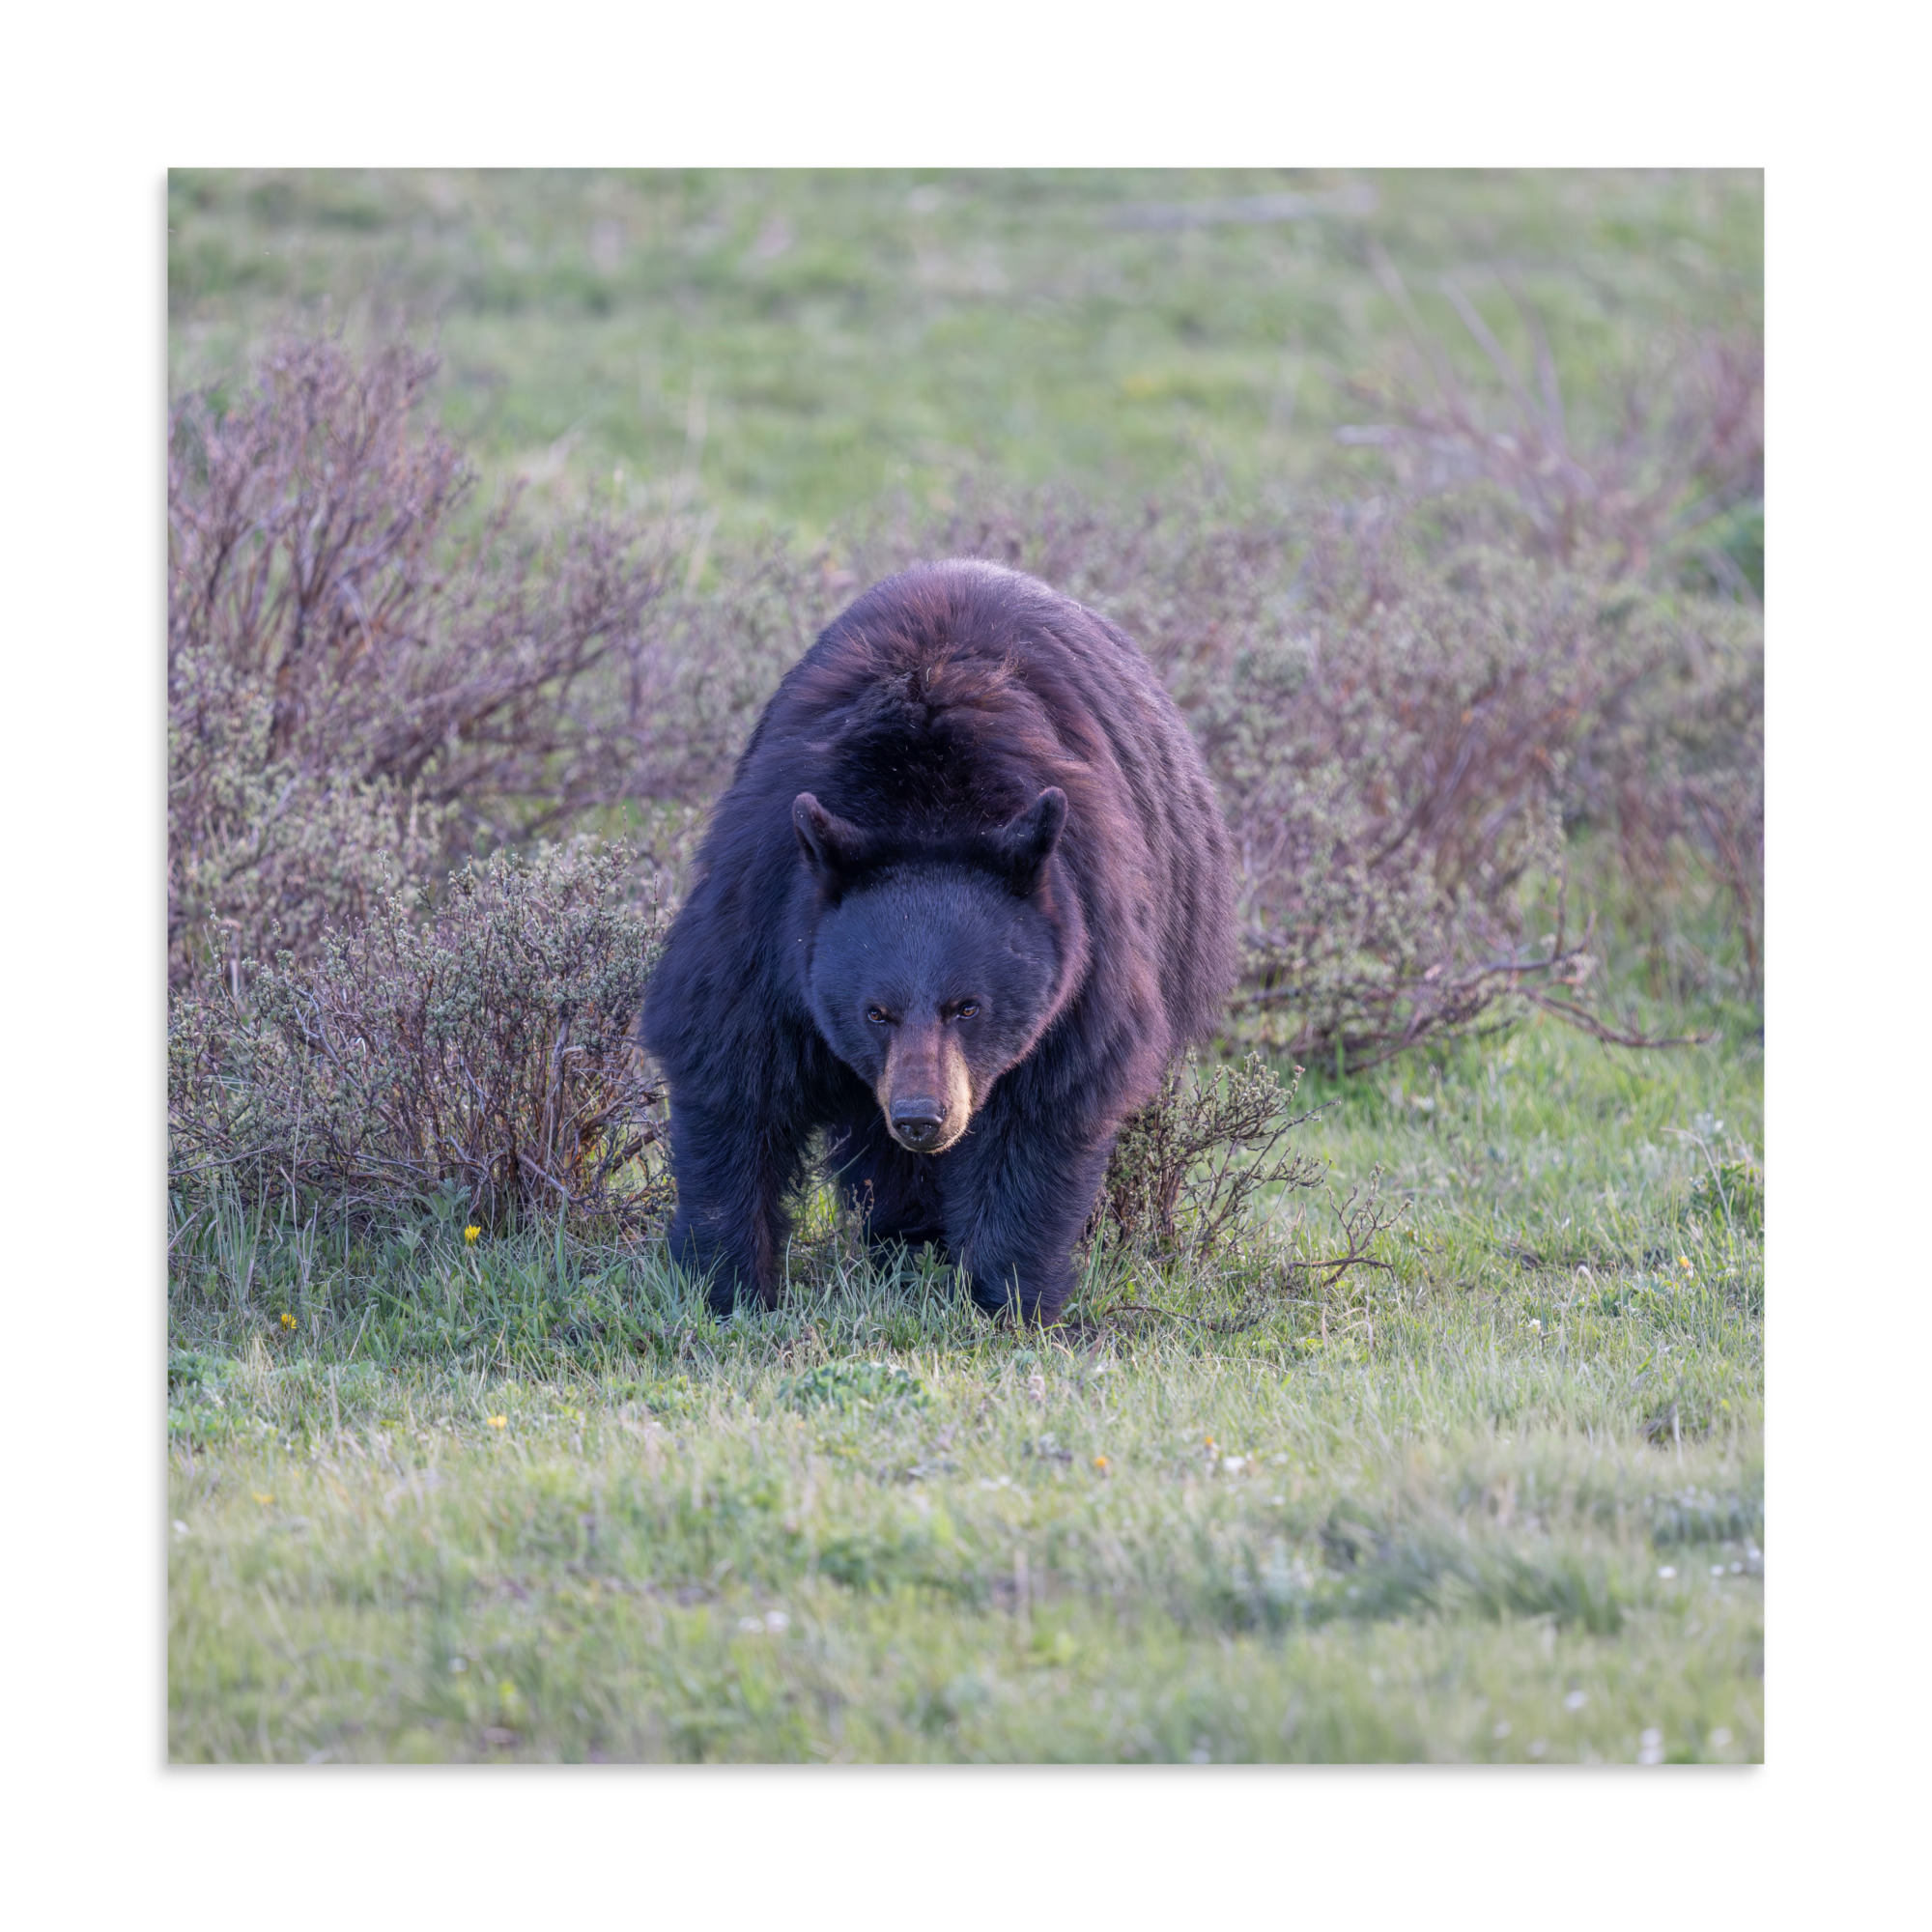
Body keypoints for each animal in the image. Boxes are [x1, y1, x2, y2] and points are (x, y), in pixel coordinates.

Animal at [641, 559, 1237, 1323]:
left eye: (968, 1006)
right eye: (875, 1012)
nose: (924, 1118)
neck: (923, 803)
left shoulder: (1088, 937)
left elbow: (1046, 1107)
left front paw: (1010, 1297)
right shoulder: (766, 909)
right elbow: (730, 1069)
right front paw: (728, 1284)